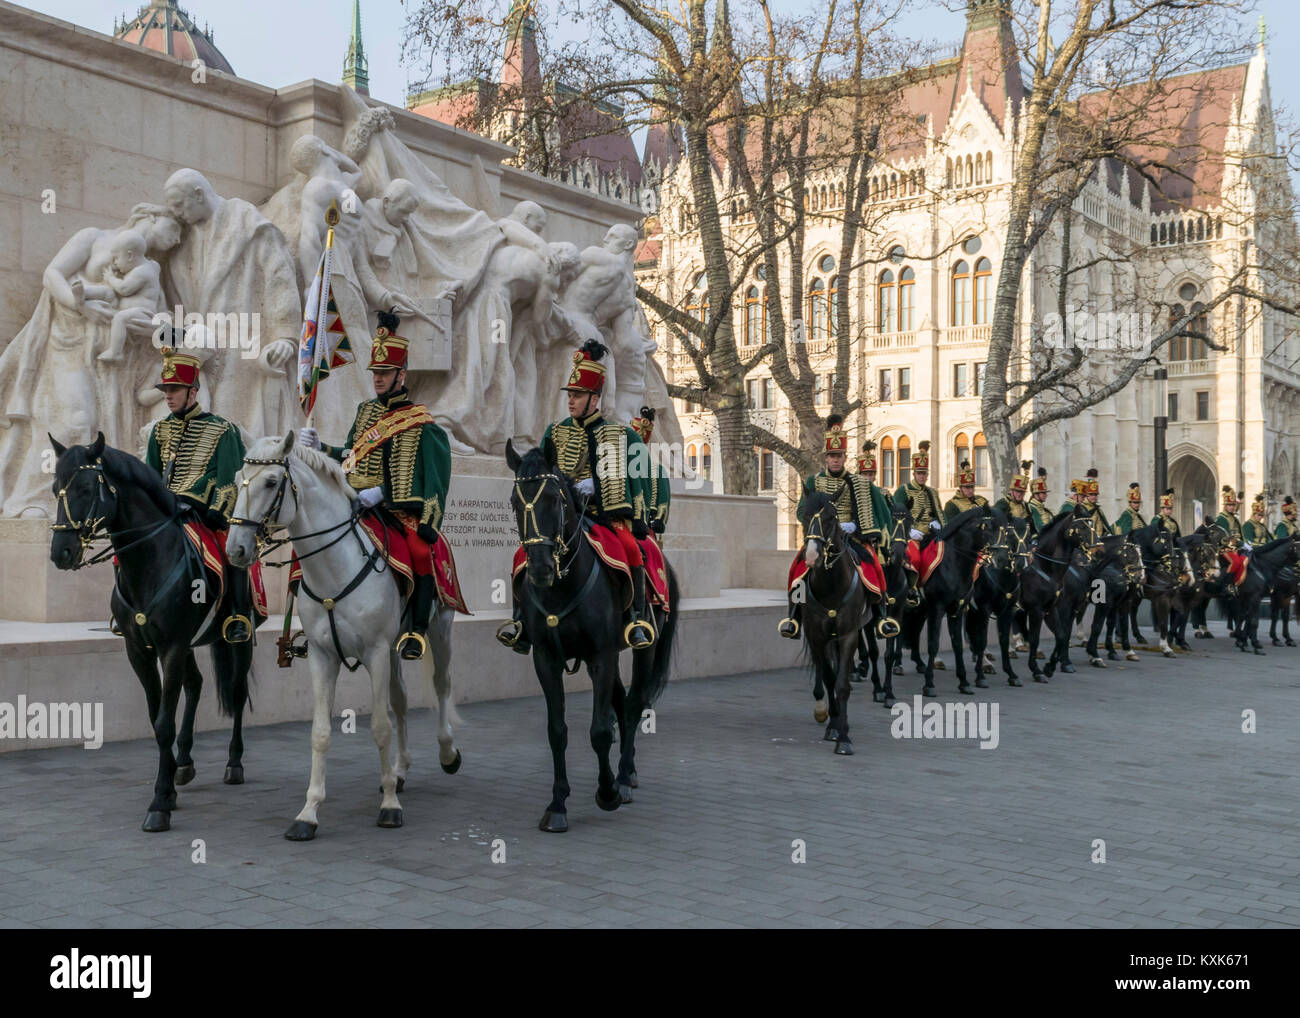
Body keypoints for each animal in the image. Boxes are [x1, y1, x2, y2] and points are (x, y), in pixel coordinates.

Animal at [50, 434, 258, 832]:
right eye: (55, 489)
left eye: (85, 488)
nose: (61, 553)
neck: (148, 561)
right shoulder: (140, 649)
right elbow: (155, 716)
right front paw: (171, 781)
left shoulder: (172, 647)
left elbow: (163, 721)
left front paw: (160, 802)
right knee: (195, 685)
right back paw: (185, 762)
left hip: (239, 637)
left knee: (237, 694)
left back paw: (235, 763)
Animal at [228, 434, 462, 842]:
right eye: (238, 478)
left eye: (271, 482)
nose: (235, 549)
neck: (333, 569)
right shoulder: (324, 657)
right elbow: (320, 733)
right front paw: (308, 813)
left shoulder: (377, 652)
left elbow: (380, 727)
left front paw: (389, 807)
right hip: (396, 648)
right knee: (401, 700)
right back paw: (399, 771)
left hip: (440, 626)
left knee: (441, 685)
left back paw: (447, 753)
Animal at [501, 442, 681, 832]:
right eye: (513, 501)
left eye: (554, 499)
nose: (540, 569)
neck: (562, 586)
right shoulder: (547, 659)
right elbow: (557, 731)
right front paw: (557, 804)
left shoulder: (601, 655)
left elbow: (599, 730)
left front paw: (608, 791)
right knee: (621, 704)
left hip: (643, 647)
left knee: (634, 703)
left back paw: (624, 777)